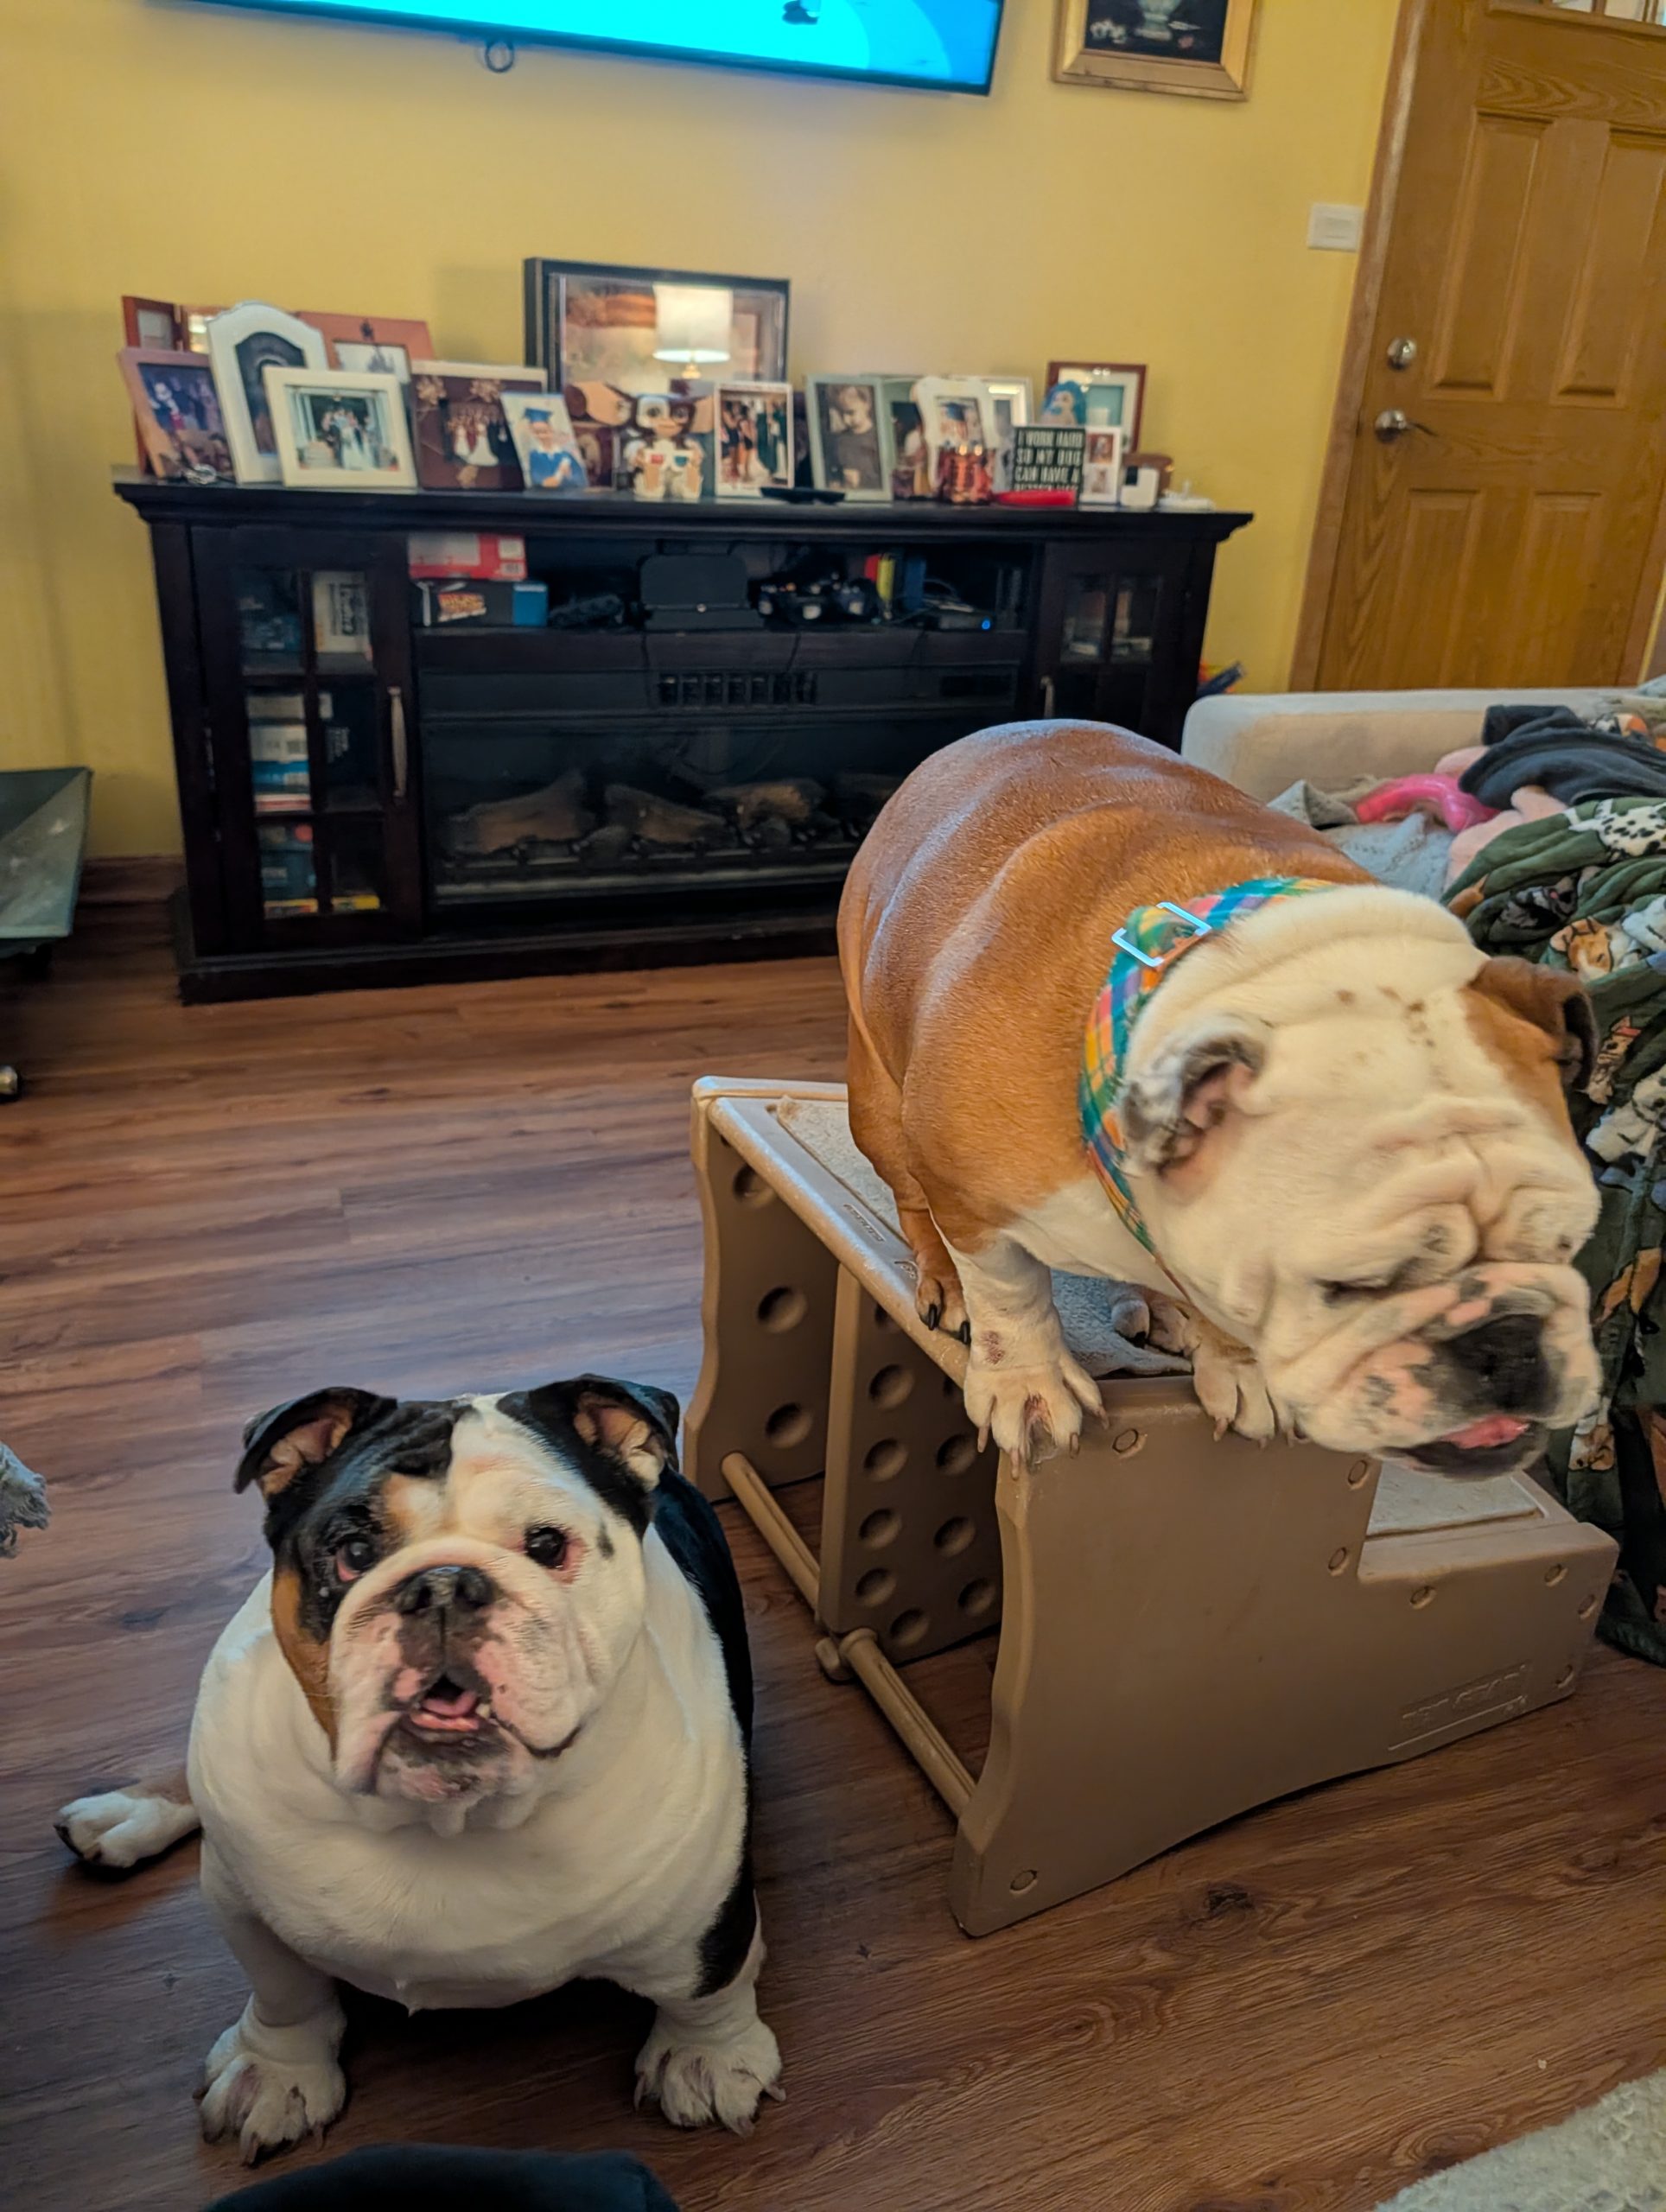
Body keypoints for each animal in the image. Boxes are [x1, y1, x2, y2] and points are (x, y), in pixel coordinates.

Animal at [56, 1375, 781, 2163]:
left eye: (547, 1545)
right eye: (352, 1550)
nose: (443, 1584)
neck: (444, 1818)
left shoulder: (706, 1909)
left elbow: (706, 1988)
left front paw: (707, 2058)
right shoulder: (240, 1896)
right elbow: (284, 1989)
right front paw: (275, 2071)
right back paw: (129, 1812)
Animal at [838, 722, 1601, 1471]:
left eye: (1570, 1244)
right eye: (1353, 1286)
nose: (1507, 1342)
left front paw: (1236, 1364)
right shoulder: (968, 1195)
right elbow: (1008, 1290)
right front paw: (1028, 1381)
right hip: (880, 1112)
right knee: (915, 1208)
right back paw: (946, 1282)